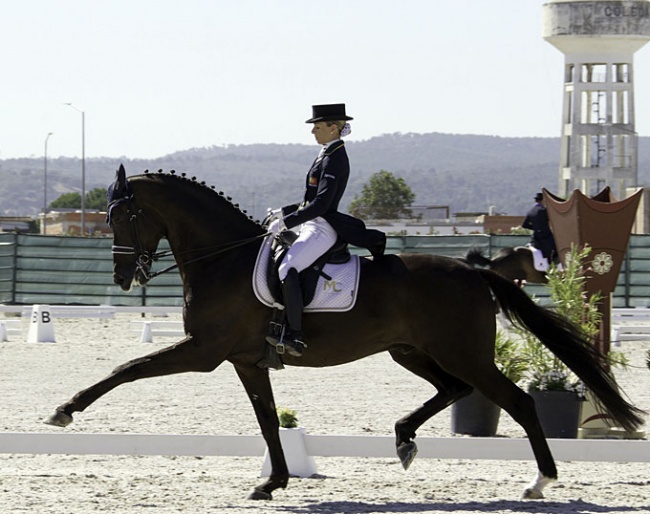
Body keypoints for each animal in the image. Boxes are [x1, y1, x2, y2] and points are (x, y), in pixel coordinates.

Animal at [44, 166, 644, 498]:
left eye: (120, 217)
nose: (123, 277)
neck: (224, 259)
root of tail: (474, 271)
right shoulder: (245, 360)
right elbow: (268, 422)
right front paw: (273, 482)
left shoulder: (204, 351)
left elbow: (127, 368)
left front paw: (64, 411)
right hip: (411, 351)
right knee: (453, 390)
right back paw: (403, 439)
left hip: (461, 352)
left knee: (515, 401)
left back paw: (541, 481)